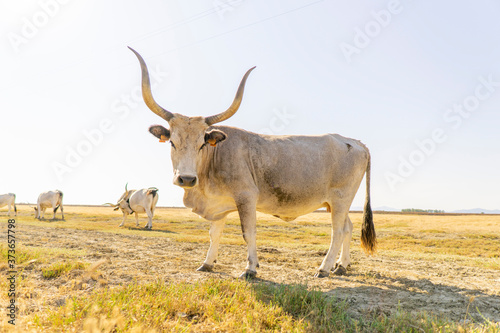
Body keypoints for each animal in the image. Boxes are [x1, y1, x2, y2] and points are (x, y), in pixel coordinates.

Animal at [129, 46, 376, 278]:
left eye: (202, 144)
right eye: (172, 142)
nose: (187, 179)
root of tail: (355, 142)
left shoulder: (246, 198)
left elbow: (248, 232)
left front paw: (250, 268)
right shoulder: (218, 205)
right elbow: (214, 233)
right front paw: (207, 263)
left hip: (340, 200)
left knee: (338, 231)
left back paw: (324, 268)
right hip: (335, 203)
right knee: (348, 227)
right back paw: (341, 266)